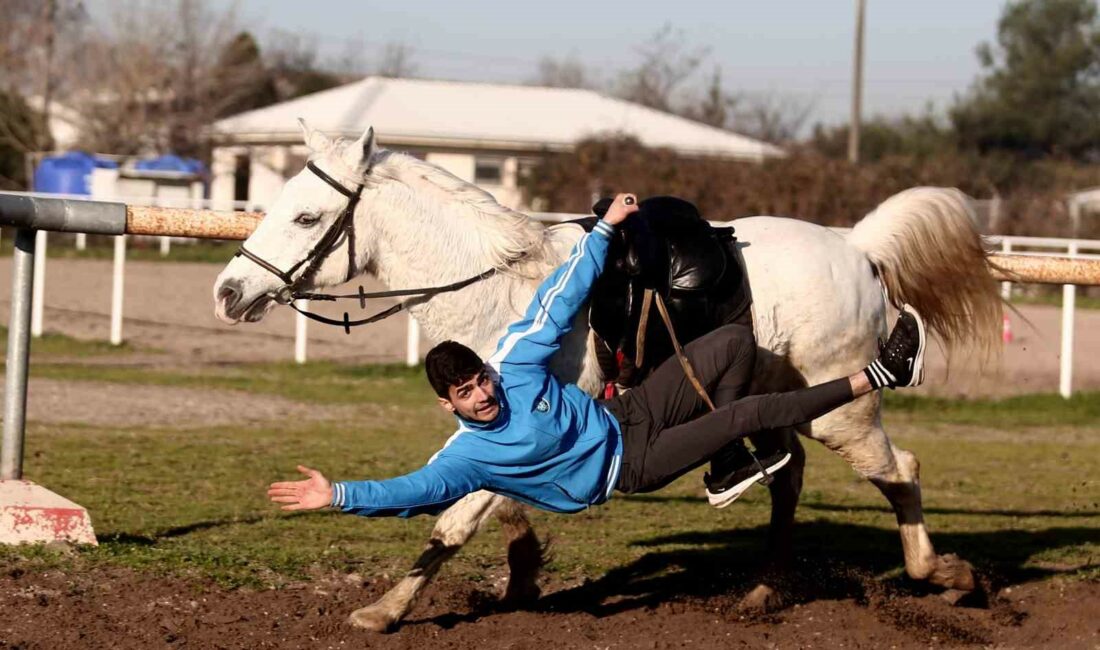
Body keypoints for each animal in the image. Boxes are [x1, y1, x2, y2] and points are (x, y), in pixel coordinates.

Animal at [210, 122, 1003, 629]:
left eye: (306, 216)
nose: (227, 291)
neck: (500, 282)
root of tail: (858, 249)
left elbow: (455, 520)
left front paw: (385, 610)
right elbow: (497, 505)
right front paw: (522, 574)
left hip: (838, 413)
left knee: (901, 469)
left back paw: (948, 576)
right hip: (777, 401)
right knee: (788, 475)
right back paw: (763, 589)